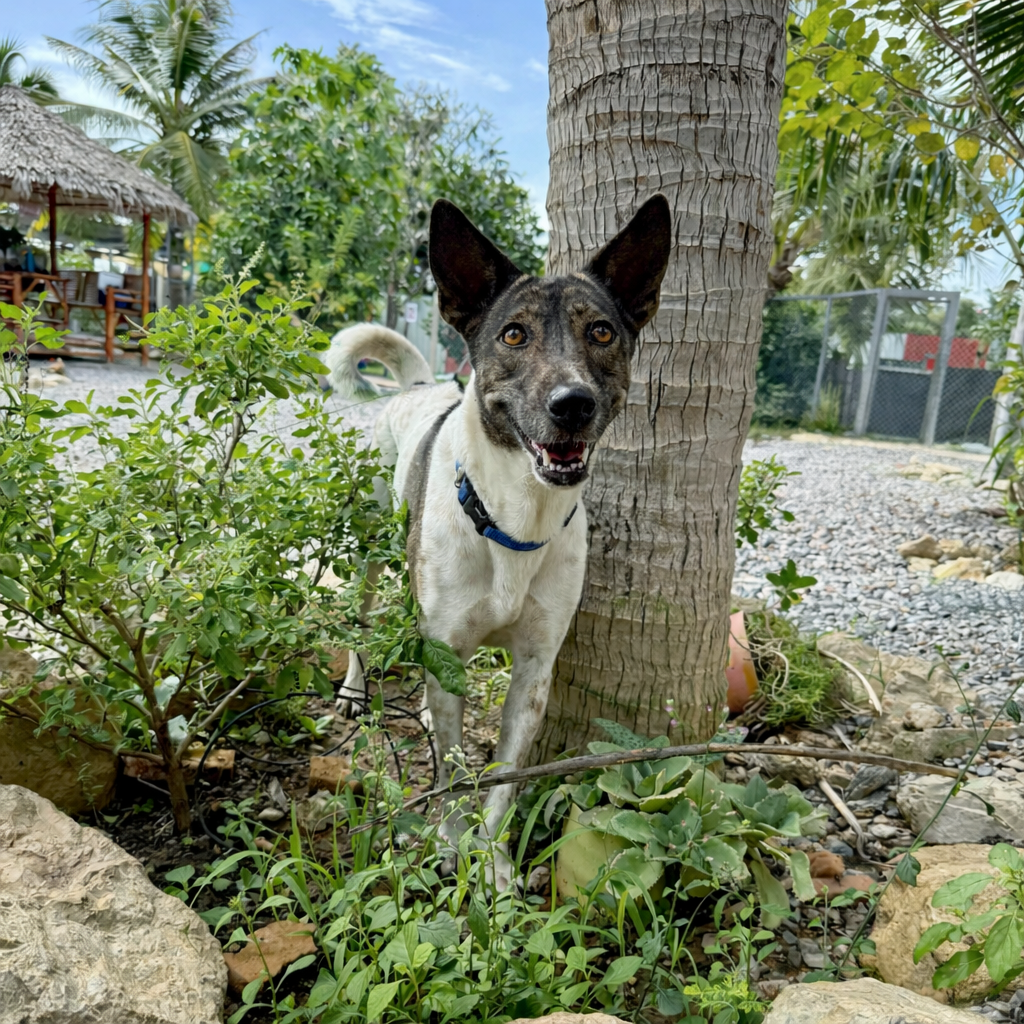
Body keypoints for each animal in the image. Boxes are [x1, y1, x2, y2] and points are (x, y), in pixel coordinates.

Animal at [326, 195, 671, 888]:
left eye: (602, 333)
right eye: (514, 334)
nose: (573, 404)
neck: (518, 520)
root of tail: (418, 386)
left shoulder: (535, 671)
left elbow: (503, 774)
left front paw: (493, 860)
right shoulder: (447, 640)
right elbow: (455, 768)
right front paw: (451, 845)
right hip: (370, 554)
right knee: (364, 618)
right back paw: (354, 689)